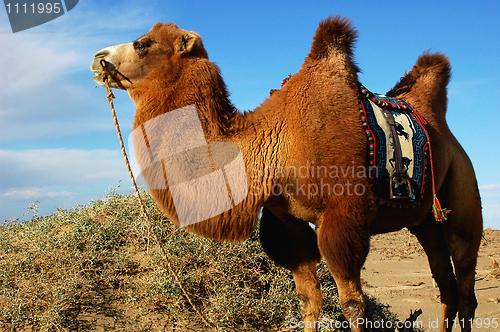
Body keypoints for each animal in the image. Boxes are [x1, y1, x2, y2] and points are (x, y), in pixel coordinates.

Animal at [91, 16, 484, 332]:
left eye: (142, 44)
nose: (98, 57)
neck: (274, 146)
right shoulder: (287, 222)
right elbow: (309, 301)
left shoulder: (342, 215)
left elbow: (353, 305)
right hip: (424, 220)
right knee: (446, 287)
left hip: (463, 194)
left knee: (465, 281)